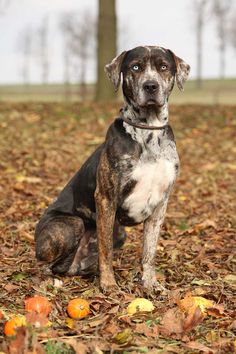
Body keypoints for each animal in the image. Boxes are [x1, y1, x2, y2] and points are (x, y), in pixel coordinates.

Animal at [35, 45, 190, 292]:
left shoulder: (161, 203)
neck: (149, 130)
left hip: (120, 234)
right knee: (43, 264)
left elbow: (149, 251)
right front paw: (108, 284)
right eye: (135, 67)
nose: (151, 86)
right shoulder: (106, 198)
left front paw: (150, 283)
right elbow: (105, 250)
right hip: (71, 224)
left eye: (164, 67)